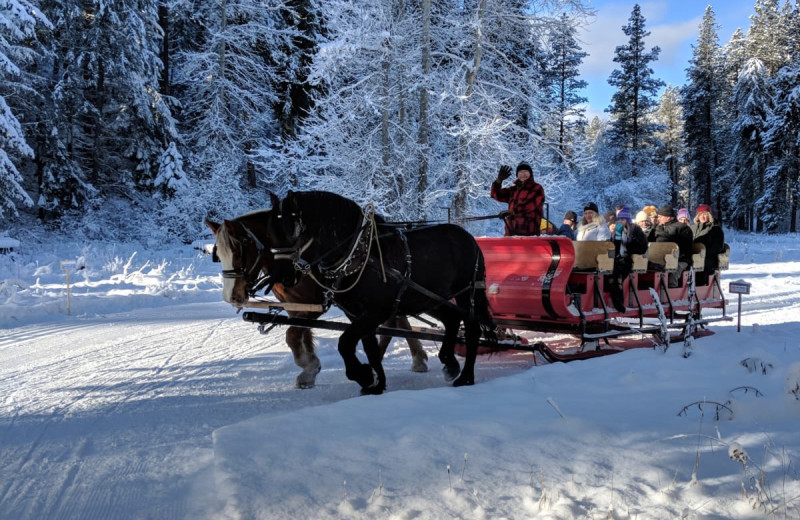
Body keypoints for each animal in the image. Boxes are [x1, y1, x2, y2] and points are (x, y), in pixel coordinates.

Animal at [209, 209, 428, 388]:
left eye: (239, 252)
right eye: (218, 255)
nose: (232, 297)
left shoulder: (315, 305)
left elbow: (293, 334)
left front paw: (309, 368)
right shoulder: (296, 306)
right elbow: (300, 334)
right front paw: (309, 369)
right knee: (399, 320)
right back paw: (413, 358)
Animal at [266, 191, 496, 394]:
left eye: (293, 231)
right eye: (271, 233)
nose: (281, 276)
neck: (357, 255)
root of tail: (469, 238)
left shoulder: (377, 311)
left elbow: (346, 343)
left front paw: (364, 375)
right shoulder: (356, 313)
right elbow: (370, 348)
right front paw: (376, 385)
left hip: (467, 293)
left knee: (472, 328)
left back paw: (466, 377)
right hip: (429, 298)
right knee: (452, 319)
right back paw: (449, 363)